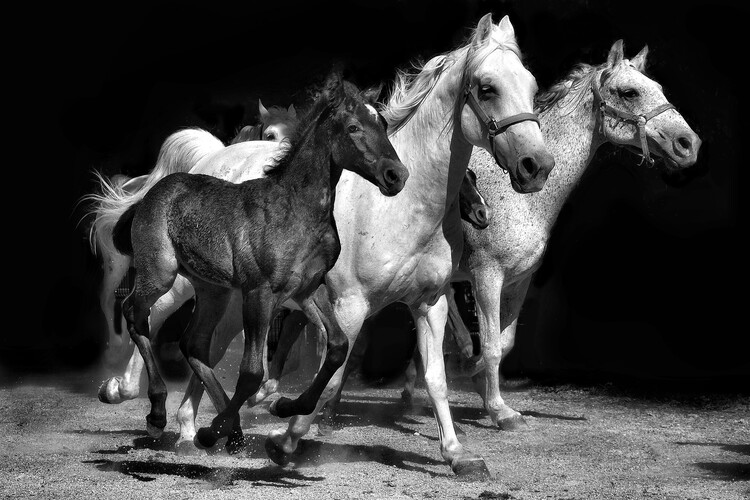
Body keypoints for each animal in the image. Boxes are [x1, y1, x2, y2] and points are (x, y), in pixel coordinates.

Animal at [109, 71, 409, 450]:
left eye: (381, 122)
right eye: (353, 127)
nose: (396, 175)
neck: (297, 209)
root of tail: (151, 194)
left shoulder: (306, 290)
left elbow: (338, 347)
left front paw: (285, 407)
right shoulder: (260, 292)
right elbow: (252, 372)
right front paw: (211, 430)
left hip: (213, 291)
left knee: (194, 343)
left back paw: (231, 429)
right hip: (160, 273)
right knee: (135, 313)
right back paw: (158, 415)